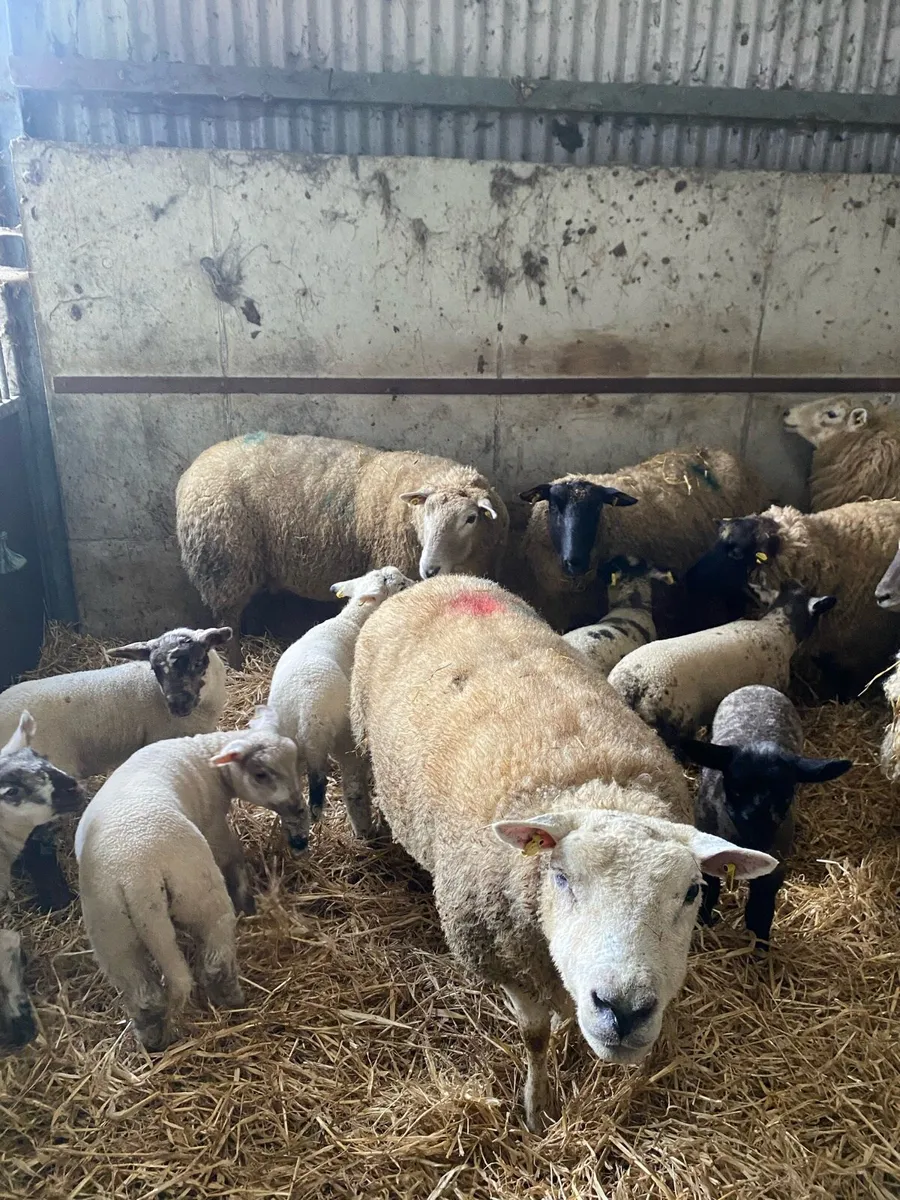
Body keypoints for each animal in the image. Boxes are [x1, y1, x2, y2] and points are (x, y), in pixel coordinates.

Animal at [75, 705, 307, 1050]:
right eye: (261, 774)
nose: (298, 808)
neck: (204, 756)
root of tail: (137, 879)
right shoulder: (214, 827)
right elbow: (233, 858)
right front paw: (247, 901)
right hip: (198, 889)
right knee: (214, 958)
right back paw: (234, 999)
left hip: (111, 930)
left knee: (141, 992)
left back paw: (152, 1040)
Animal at [176, 432, 509, 666]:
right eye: (424, 512)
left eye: (470, 518)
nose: (429, 569)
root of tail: (193, 469)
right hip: (224, 564)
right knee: (228, 620)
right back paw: (237, 665)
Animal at [266, 566, 414, 840]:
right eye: (399, 585)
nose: (417, 583)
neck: (352, 620)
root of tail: (307, 711)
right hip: (344, 736)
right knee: (353, 786)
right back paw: (365, 831)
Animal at [349, 574, 777, 1131]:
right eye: (561, 879)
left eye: (691, 893)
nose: (624, 1010)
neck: (593, 784)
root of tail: (443, 580)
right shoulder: (500, 958)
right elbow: (535, 1037)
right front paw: (537, 1107)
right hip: (361, 734)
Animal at [682, 686, 852, 946]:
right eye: (735, 789)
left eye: (786, 796)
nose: (759, 838)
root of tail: (758, 687)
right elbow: (709, 889)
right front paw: (702, 922)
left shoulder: (774, 866)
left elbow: (760, 909)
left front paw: (759, 945)